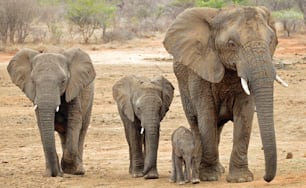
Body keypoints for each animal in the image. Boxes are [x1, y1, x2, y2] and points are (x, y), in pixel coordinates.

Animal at [6, 47, 95, 176]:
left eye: (63, 81)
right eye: (33, 81)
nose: (55, 174)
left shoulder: (74, 89)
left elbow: (74, 122)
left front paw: (69, 169)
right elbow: (41, 125)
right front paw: (50, 173)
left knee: (82, 129)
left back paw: (78, 171)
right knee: (64, 134)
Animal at [164, 6, 288, 184]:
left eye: (272, 40)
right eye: (231, 44)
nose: (266, 178)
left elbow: (245, 115)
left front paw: (241, 179)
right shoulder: (200, 71)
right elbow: (206, 115)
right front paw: (209, 177)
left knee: (218, 127)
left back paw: (219, 169)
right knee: (196, 124)